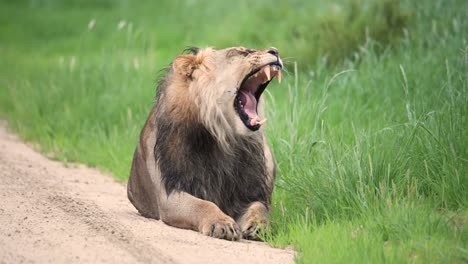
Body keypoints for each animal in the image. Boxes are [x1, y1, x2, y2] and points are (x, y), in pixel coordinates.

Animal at [126, 46, 284, 240]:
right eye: (240, 52)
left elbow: (259, 208)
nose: (275, 51)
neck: (224, 139)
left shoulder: (250, 193)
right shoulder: (169, 194)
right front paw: (222, 223)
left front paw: (259, 226)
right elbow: (202, 205)